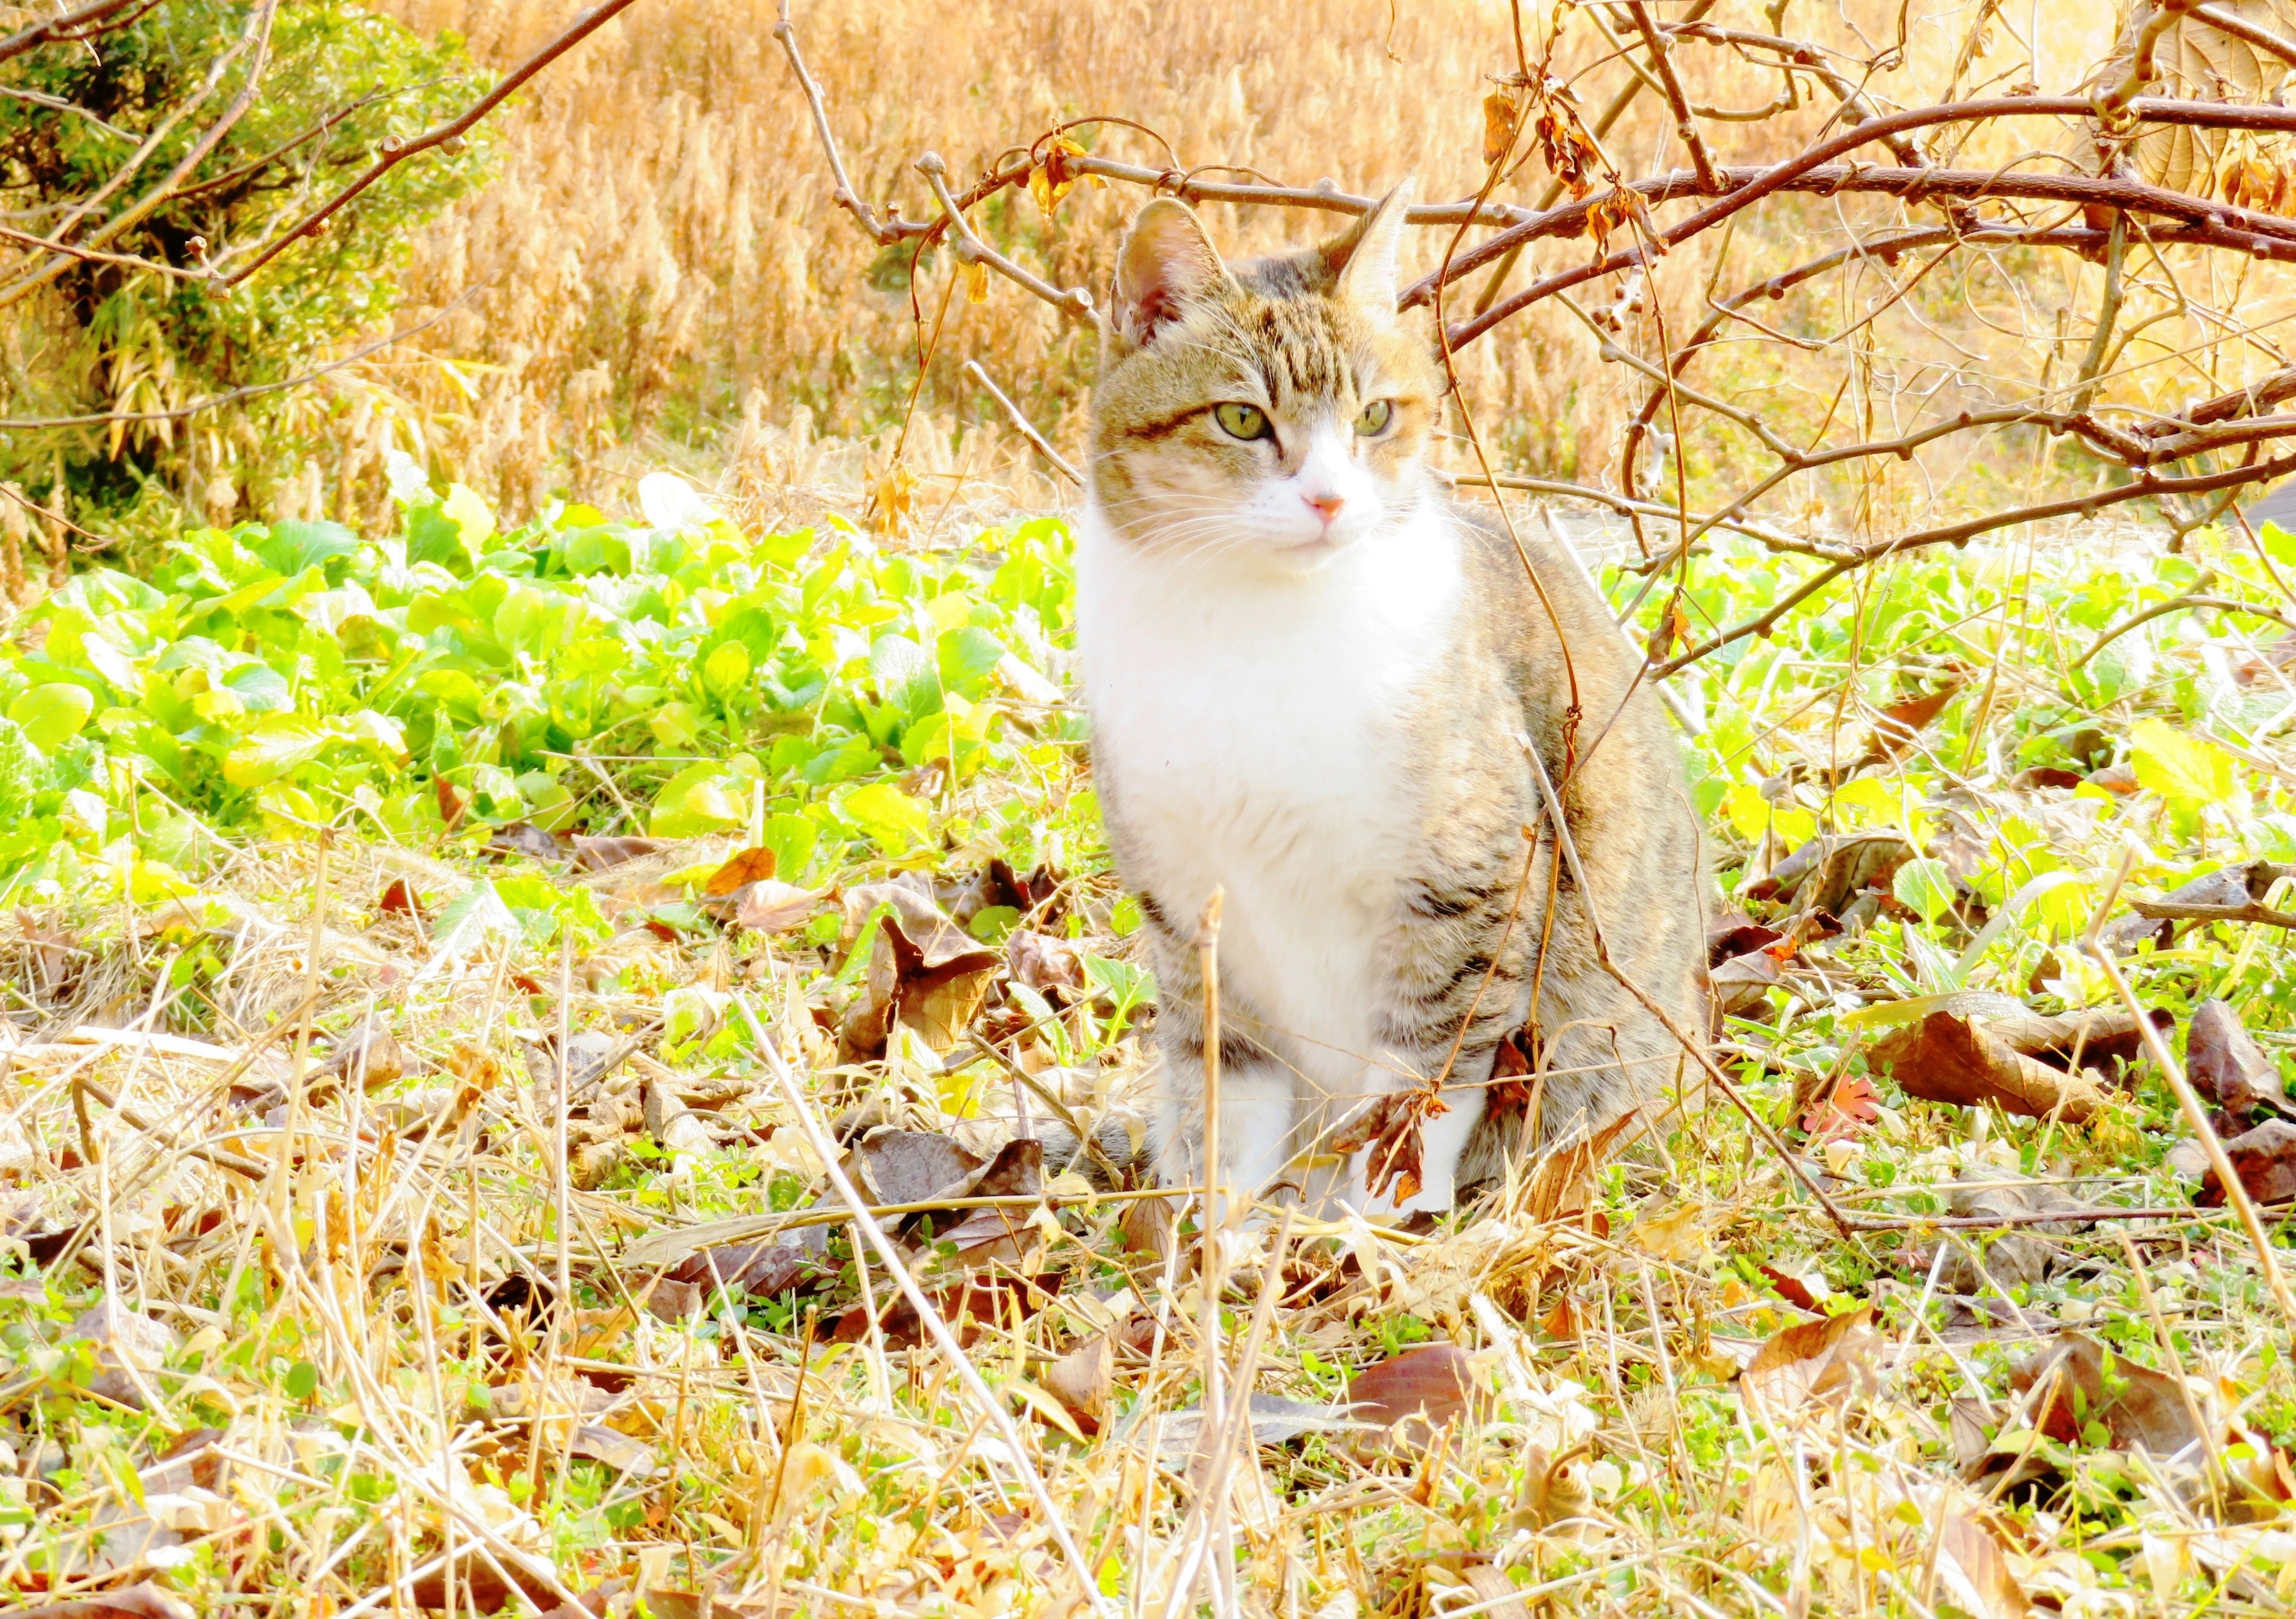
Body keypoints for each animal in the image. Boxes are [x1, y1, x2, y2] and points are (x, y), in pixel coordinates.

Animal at [1069, 186, 1708, 1213]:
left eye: (1373, 416)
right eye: (1242, 420)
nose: (1330, 501)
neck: (1255, 631)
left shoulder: (1473, 881)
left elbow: (1418, 1087)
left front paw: (1368, 1228)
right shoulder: (1188, 912)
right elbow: (1229, 1089)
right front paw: (1223, 1229)